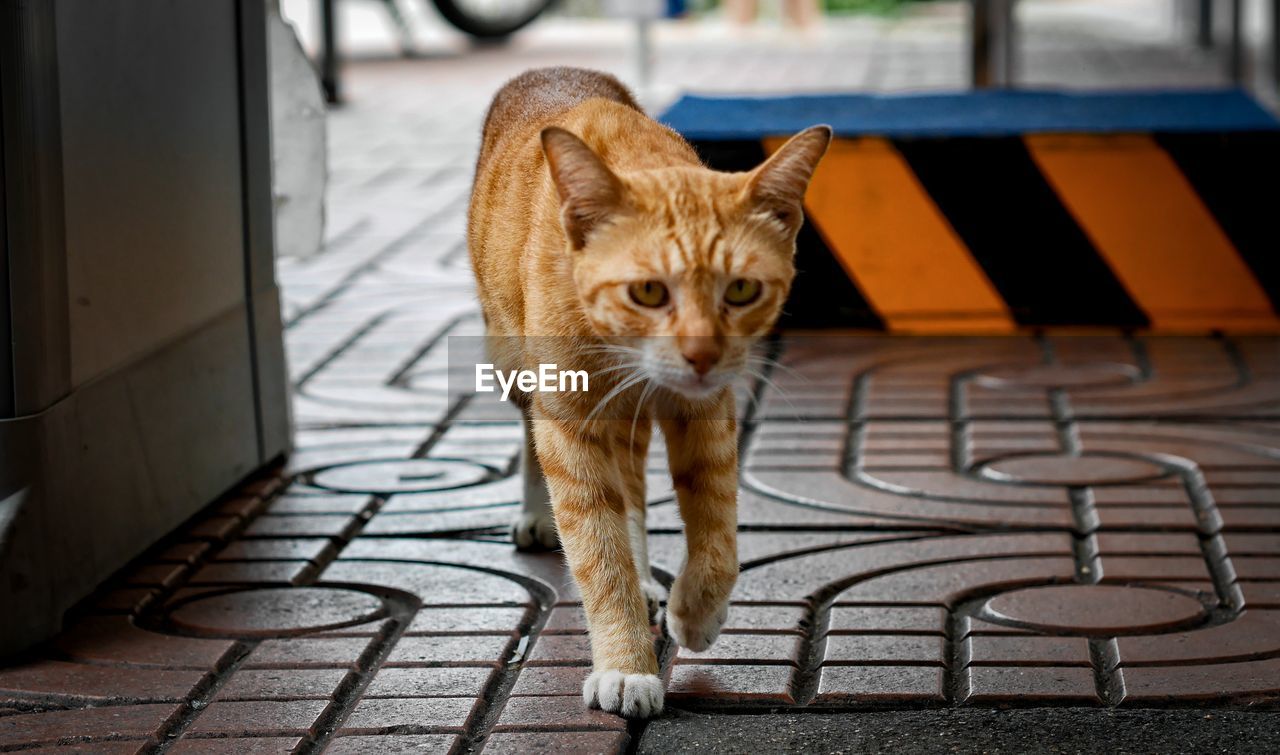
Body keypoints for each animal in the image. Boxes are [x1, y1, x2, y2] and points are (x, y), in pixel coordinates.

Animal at [471, 68, 829, 716]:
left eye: (741, 289)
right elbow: (597, 549)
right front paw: (626, 665)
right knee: (541, 441)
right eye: (647, 290)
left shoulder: (707, 409)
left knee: (632, 493)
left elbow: (717, 530)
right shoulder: (569, 423)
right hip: (511, 360)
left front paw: (698, 613)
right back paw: (539, 515)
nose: (701, 353)